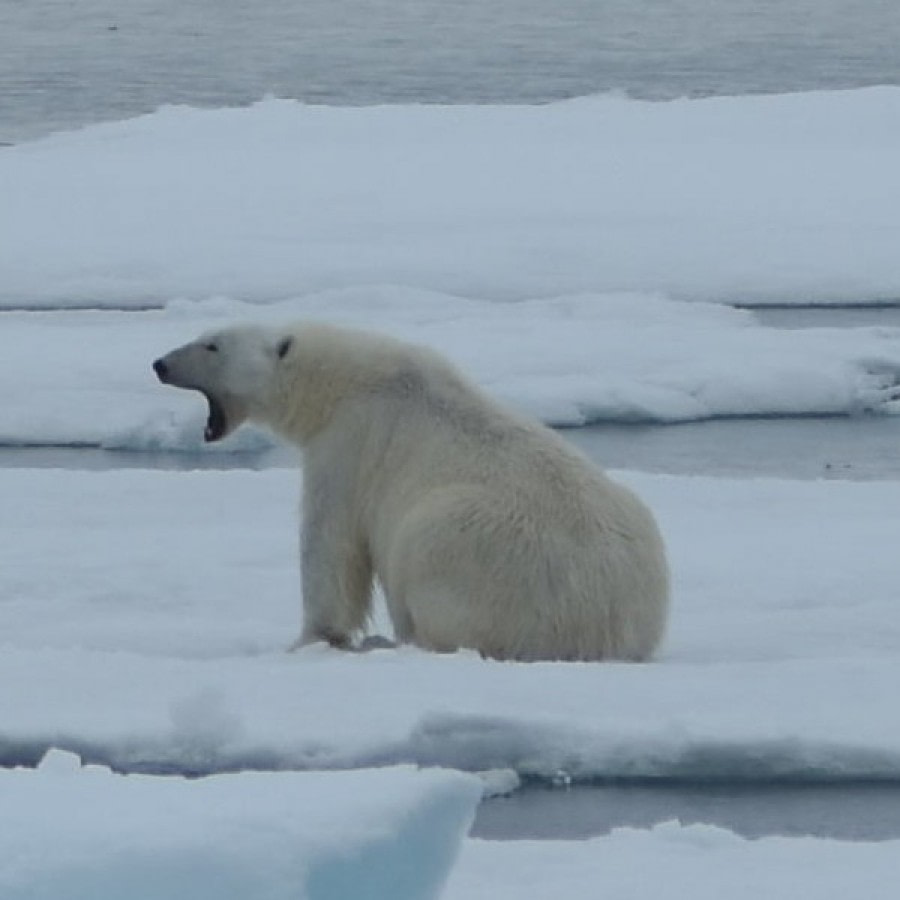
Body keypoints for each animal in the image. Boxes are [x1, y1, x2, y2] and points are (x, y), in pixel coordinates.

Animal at [153, 324, 668, 660]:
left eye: (212, 344)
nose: (160, 363)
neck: (342, 379)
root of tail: (603, 625)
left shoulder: (348, 443)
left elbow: (331, 548)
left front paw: (310, 640)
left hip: (471, 543)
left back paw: (395, 640)